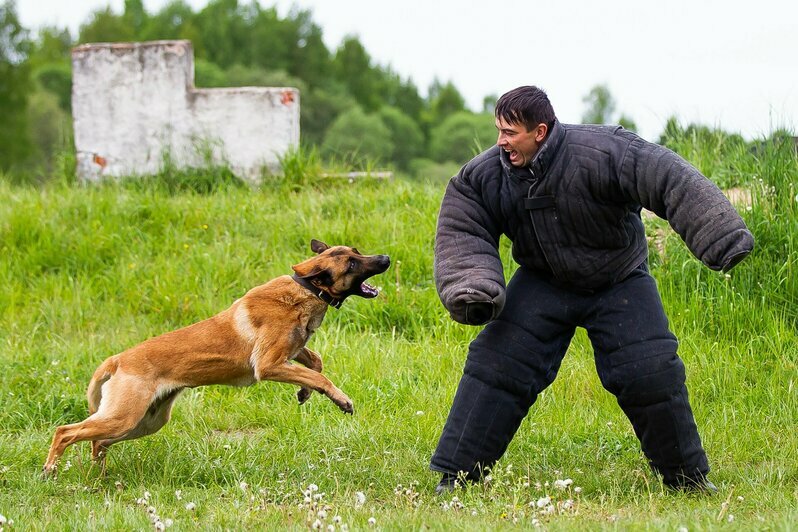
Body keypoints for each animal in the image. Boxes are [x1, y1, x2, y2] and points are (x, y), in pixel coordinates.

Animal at [43, 239, 390, 476]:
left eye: (357, 251)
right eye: (351, 265)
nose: (385, 258)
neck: (304, 290)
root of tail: (118, 359)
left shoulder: (291, 352)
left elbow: (315, 363)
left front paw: (305, 392)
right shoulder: (269, 365)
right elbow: (319, 374)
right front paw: (341, 399)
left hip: (145, 422)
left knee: (97, 442)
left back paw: (98, 475)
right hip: (124, 417)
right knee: (66, 432)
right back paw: (51, 470)